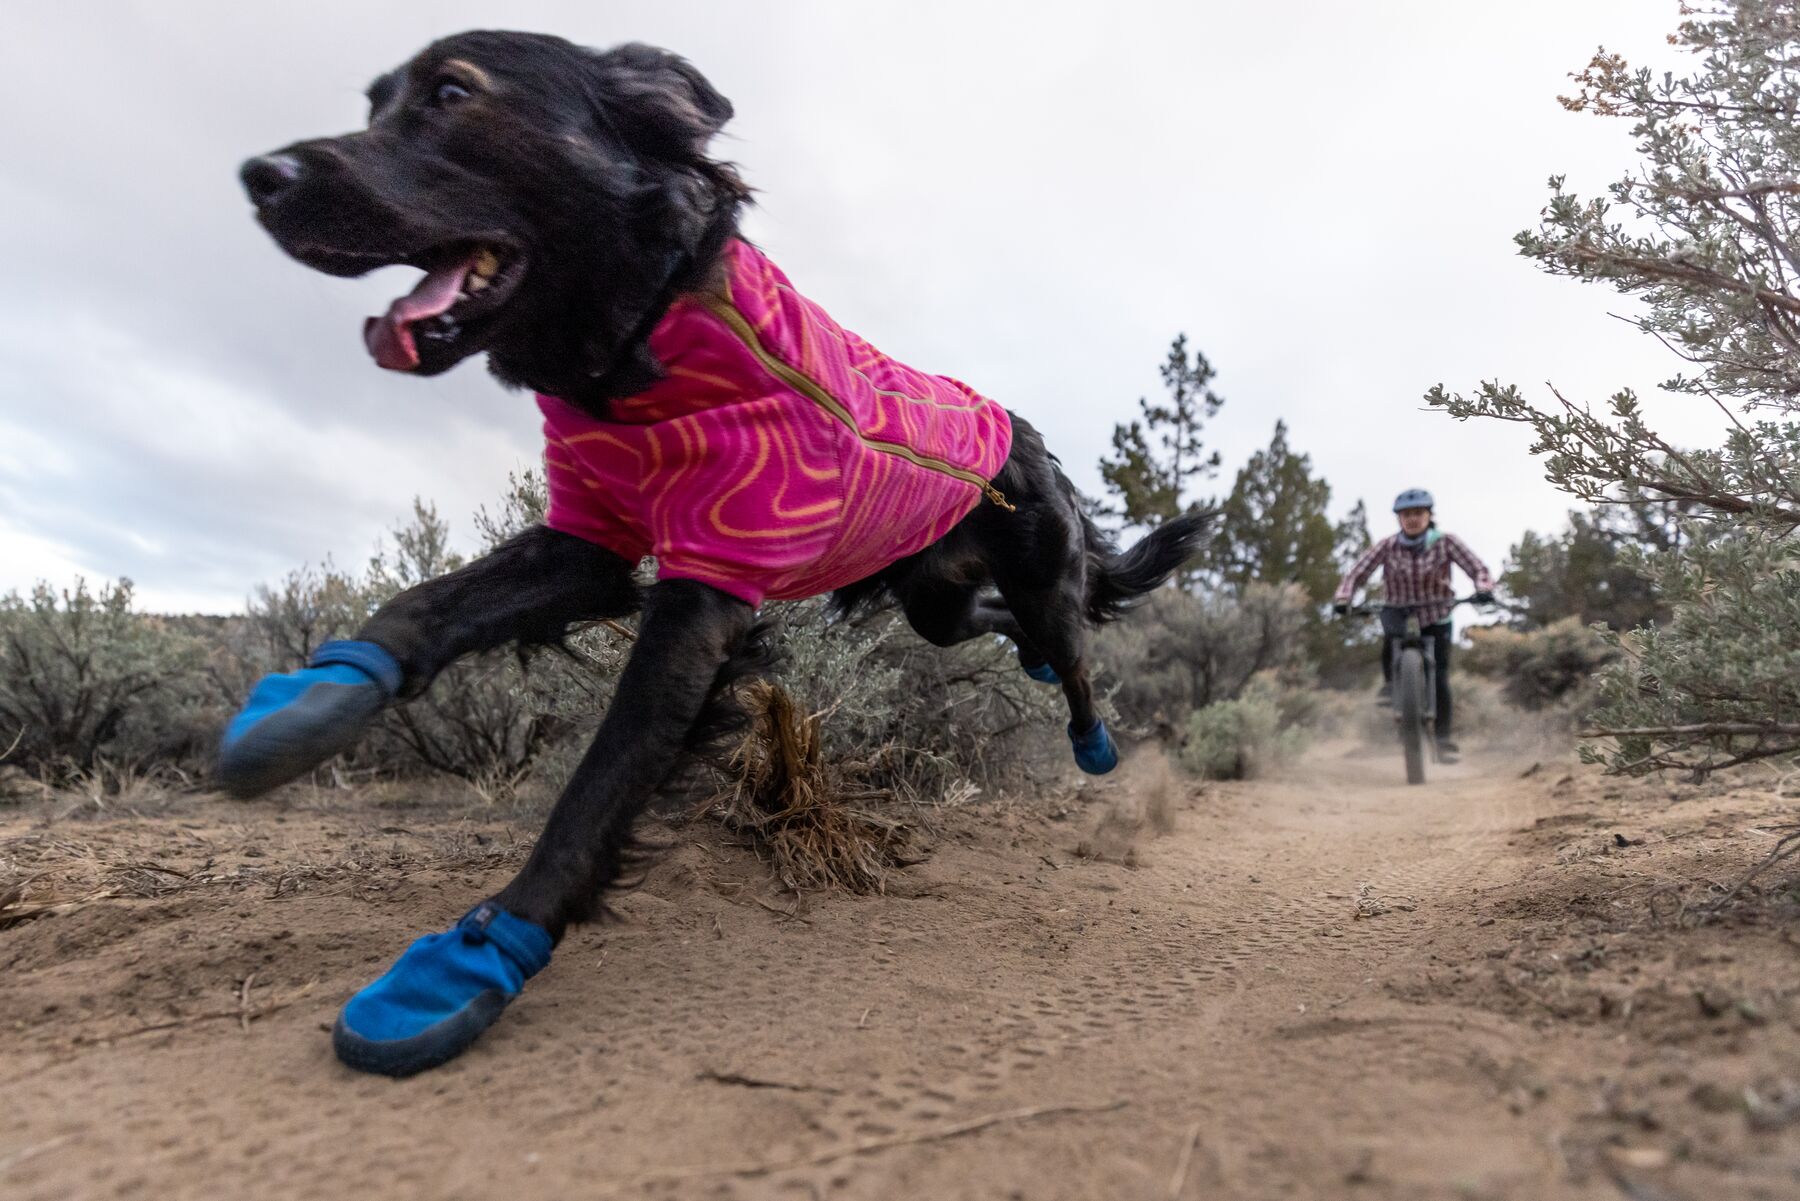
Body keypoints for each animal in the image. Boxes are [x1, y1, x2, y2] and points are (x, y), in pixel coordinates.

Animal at [232, 32, 1202, 1073]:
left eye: (452, 93)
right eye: (374, 104)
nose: (259, 176)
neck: (650, 341)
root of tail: (1026, 433)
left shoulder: (700, 595)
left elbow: (595, 788)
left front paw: (472, 958)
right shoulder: (589, 542)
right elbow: (425, 605)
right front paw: (310, 702)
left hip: (1040, 573)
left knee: (1075, 654)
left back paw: (1091, 736)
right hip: (930, 597)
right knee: (985, 620)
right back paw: (1021, 654)